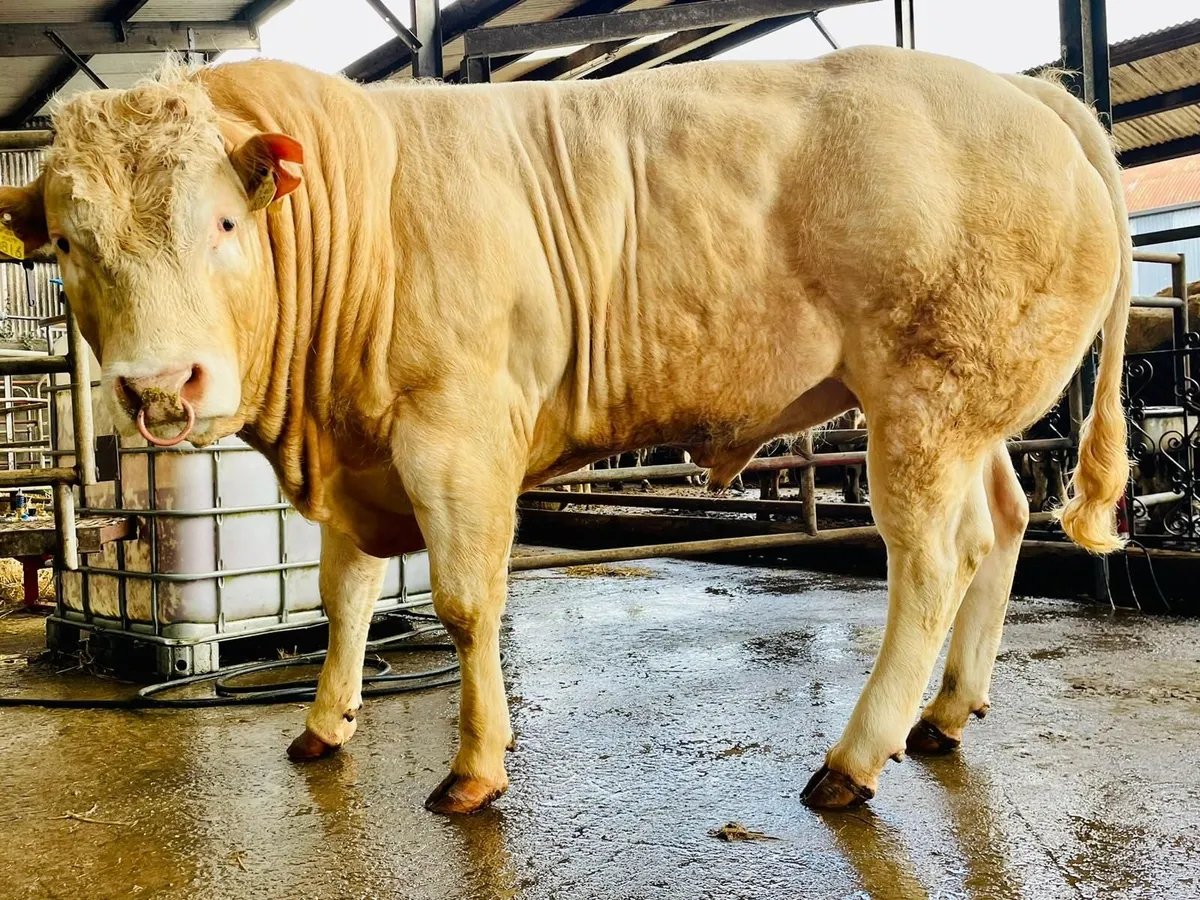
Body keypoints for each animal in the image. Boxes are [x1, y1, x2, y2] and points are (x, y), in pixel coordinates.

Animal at [0, 48, 1130, 814]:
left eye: (225, 223)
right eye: (70, 242)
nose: (161, 386)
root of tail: (1027, 90)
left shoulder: (455, 436)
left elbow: (465, 604)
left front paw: (473, 769)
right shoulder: (359, 455)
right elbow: (345, 596)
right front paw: (325, 724)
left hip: (921, 399)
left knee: (932, 560)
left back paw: (854, 758)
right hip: (968, 411)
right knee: (1003, 522)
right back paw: (947, 713)